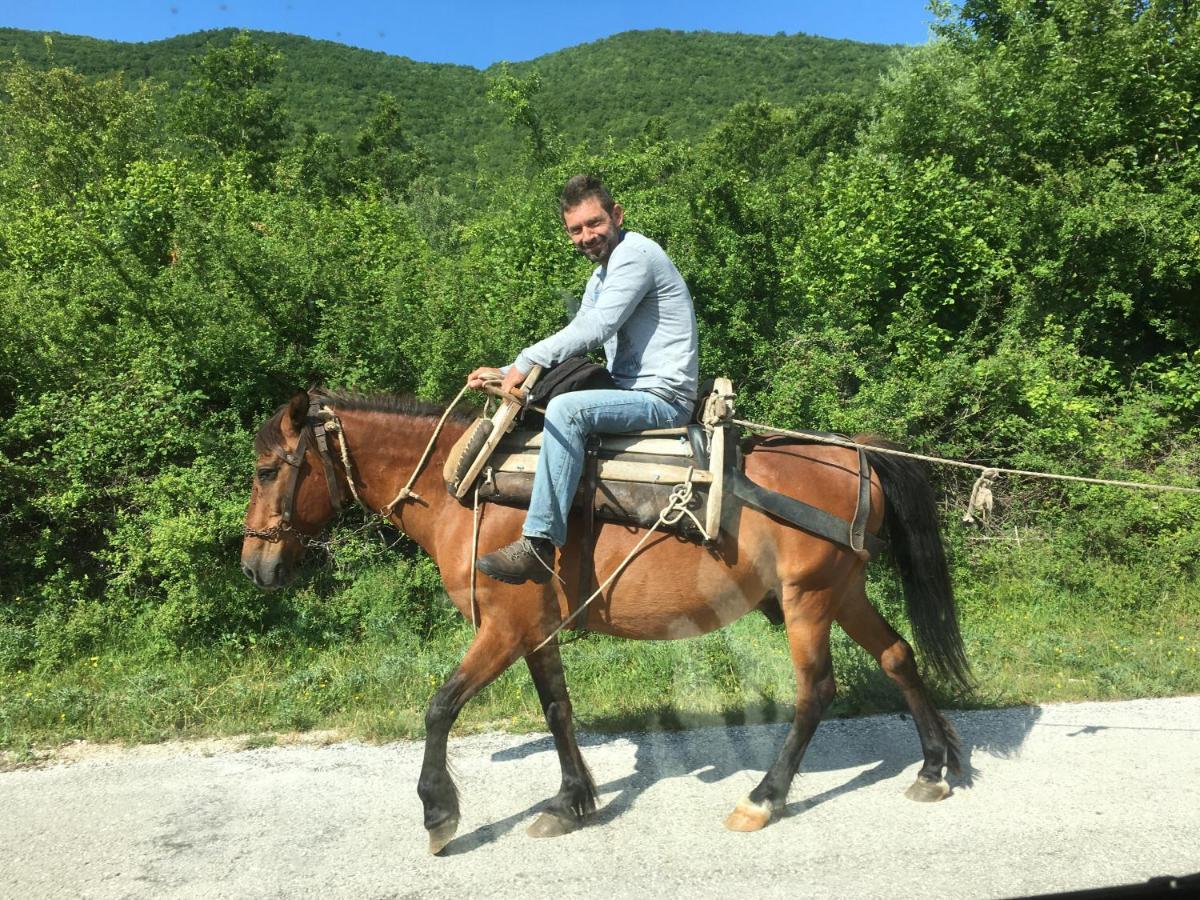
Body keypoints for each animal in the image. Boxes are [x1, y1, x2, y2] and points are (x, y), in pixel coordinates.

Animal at [238, 388, 969, 854]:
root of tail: (855, 456)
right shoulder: (533, 630)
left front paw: (439, 811)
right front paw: (570, 801)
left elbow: (440, 707)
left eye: (268, 469)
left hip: (808, 601)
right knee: (899, 656)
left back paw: (763, 797)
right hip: (842, 590)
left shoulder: (501, 631)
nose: (253, 565)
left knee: (816, 691)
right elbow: (558, 711)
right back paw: (933, 767)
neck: (466, 488)